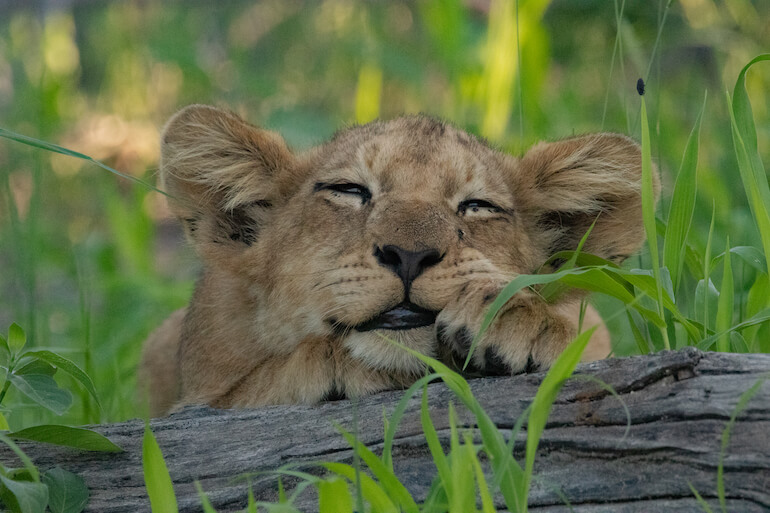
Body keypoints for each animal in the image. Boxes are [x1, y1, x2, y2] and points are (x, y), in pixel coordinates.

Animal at [138, 105, 657, 417]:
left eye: (476, 206)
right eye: (349, 190)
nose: (409, 254)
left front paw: (519, 321)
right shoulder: (194, 402)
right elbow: (256, 387)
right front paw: (341, 367)